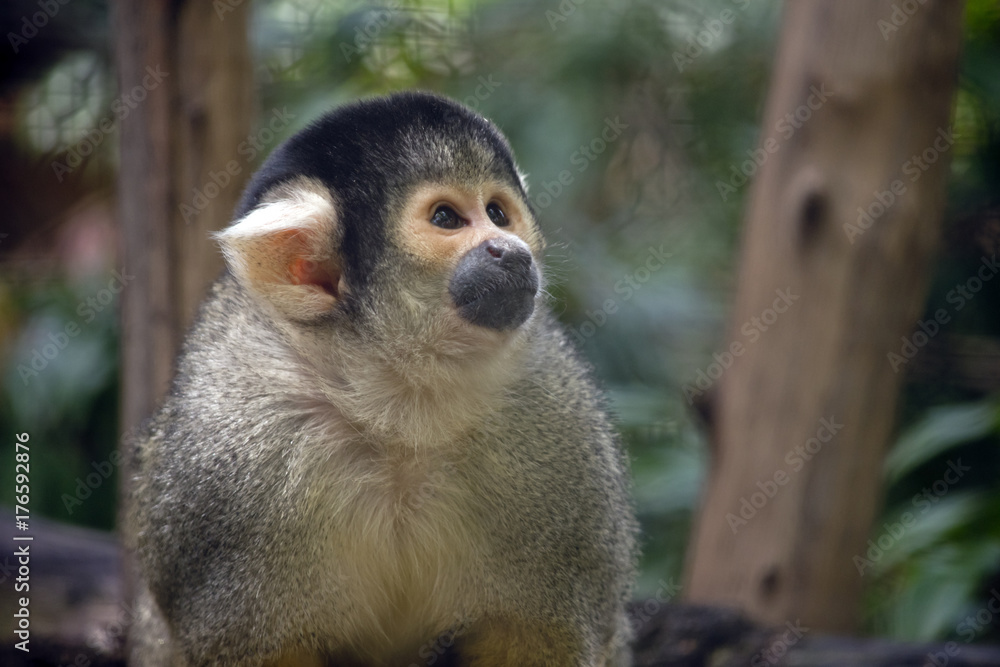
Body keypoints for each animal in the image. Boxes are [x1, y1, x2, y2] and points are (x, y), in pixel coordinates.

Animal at [124, 91, 638, 667]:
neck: (399, 408)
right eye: (446, 218)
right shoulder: (226, 458)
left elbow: (540, 636)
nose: (510, 250)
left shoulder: (556, 416)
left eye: (498, 214)